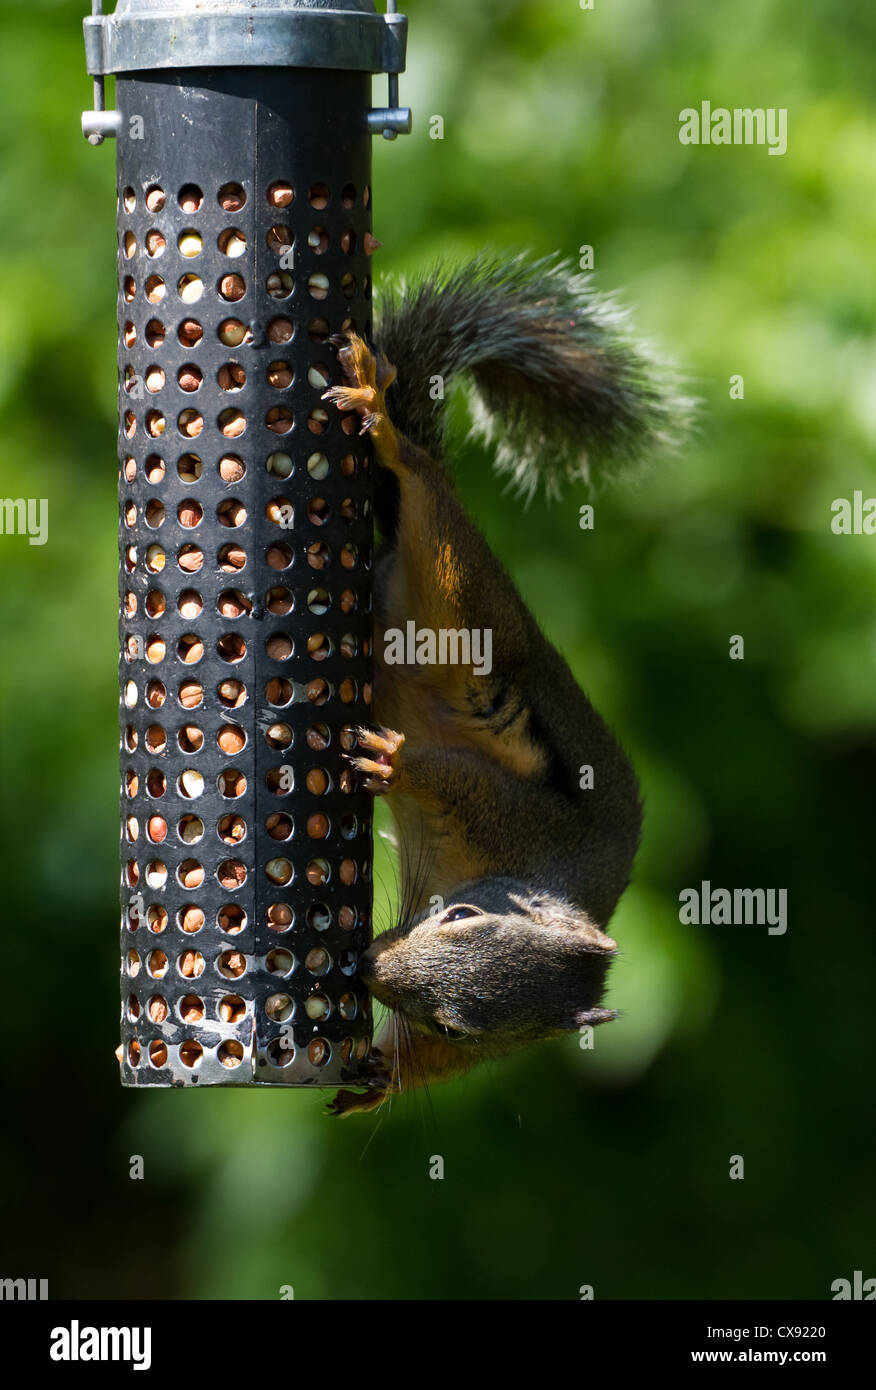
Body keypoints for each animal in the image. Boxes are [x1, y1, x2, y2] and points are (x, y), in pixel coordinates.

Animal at [321, 255, 686, 1112]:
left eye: (454, 1028)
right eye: (456, 913)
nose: (370, 969)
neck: (515, 871)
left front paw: (382, 1076)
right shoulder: (517, 816)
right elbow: (458, 778)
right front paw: (397, 765)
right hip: (470, 610)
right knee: (430, 510)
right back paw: (384, 425)